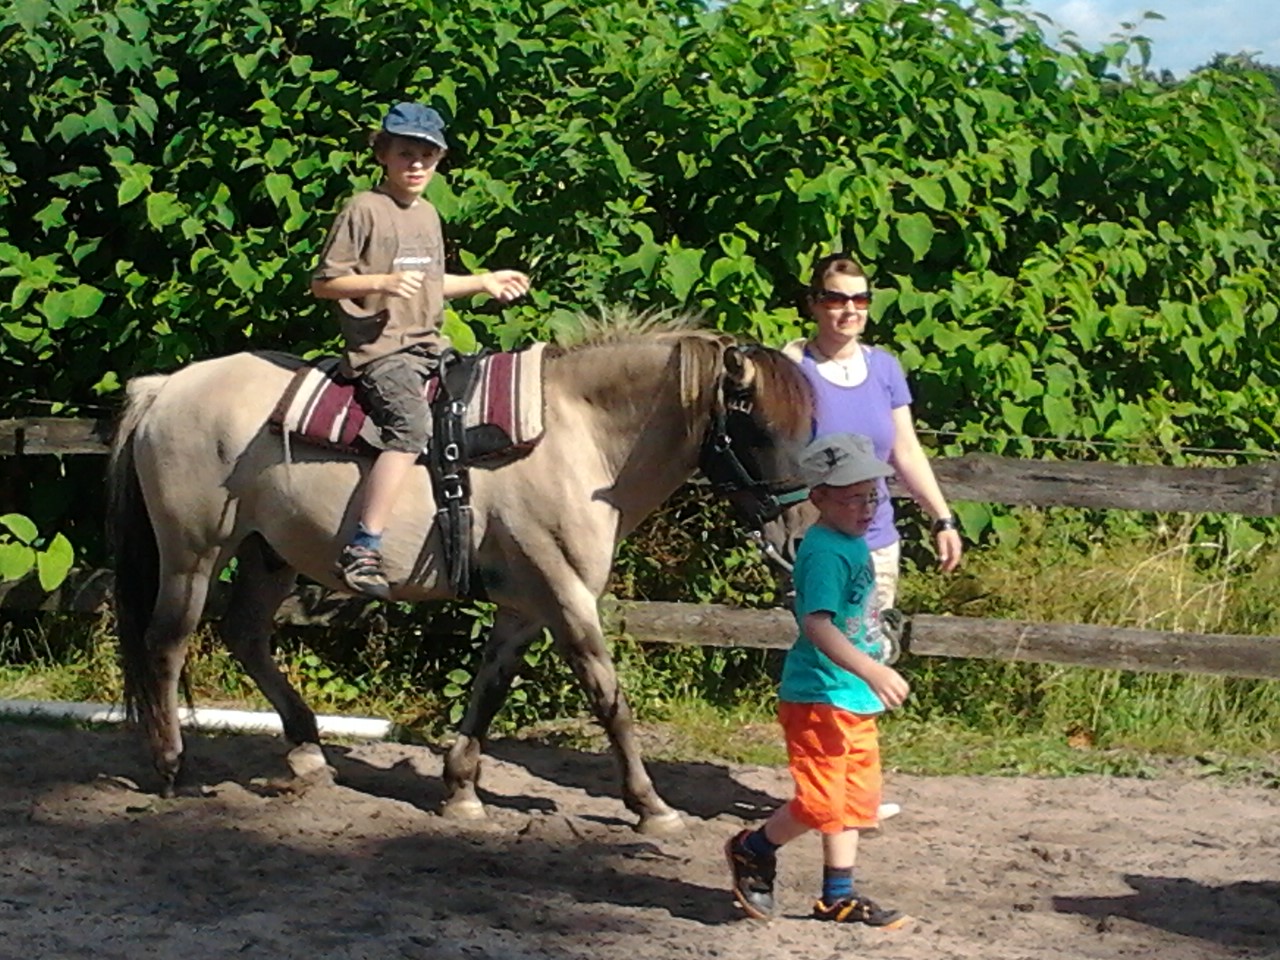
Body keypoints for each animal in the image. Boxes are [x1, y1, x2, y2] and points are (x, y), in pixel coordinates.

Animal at [108, 321, 813, 834]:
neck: (577, 439)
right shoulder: (566, 597)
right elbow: (609, 699)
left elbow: (489, 690)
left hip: (266, 554)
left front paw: (461, 789)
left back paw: (306, 753)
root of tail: (165, 388)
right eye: (756, 425)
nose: (800, 535)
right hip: (194, 554)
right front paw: (652, 806)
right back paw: (170, 766)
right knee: (166, 644)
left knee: (247, 635)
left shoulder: (526, 605)